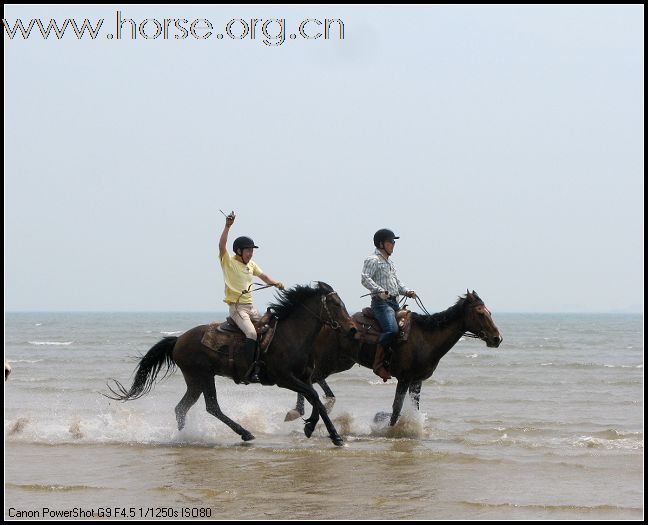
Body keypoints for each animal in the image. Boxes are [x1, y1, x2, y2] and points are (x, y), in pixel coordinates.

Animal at [108, 282, 356, 446]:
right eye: (335, 303)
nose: (353, 329)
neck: (290, 336)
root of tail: (178, 340)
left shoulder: (304, 377)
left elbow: (316, 398)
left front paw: (309, 426)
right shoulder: (285, 379)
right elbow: (314, 397)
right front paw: (335, 436)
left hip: (195, 381)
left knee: (183, 408)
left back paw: (184, 437)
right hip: (202, 376)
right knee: (211, 407)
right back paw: (244, 433)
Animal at [286, 290, 504, 426]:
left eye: (489, 312)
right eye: (480, 313)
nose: (497, 338)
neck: (426, 338)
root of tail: (324, 324)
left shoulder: (416, 380)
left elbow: (413, 408)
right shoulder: (404, 378)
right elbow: (397, 409)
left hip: (342, 362)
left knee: (310, 379)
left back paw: (305, 409)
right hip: (330, 361)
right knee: (311, 379)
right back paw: (307, 409)